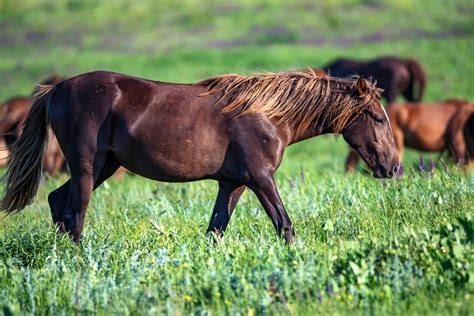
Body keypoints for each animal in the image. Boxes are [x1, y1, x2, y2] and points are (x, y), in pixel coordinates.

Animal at [0, 69, 400, 242]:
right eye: (379, 118)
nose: (394, 168)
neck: (268, 114)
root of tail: (55, 89)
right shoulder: (261, 178)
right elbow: (284, 225)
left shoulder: (233, 183)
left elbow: (215, 231)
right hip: (88, 167)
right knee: (74, 213)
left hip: (104, 167)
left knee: (57, 202)